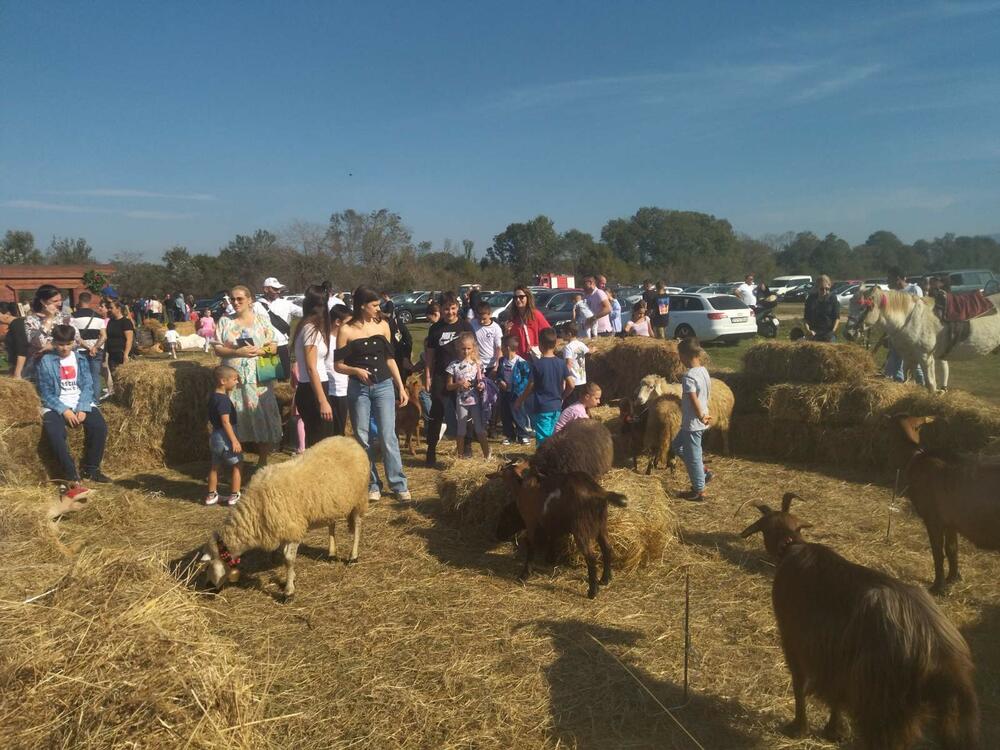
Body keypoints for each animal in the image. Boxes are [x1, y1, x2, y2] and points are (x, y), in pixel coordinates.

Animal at [205, 434, 370, 600]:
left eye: (209, 564)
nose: (208, 589)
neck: (255, 508)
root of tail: (349, 440)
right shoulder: (284, 529)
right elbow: (286, 559)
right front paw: (291, 579)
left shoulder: (293, 528)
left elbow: (289, 560)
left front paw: (288, 591)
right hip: (331, 503)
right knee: (332, 524)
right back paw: (331, 553)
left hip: (360, 497)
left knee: (357, 526)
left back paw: (353, 556)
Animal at [494, 458, 624, 600]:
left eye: (505, 518)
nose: (497, 535)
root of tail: (597, 492)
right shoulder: (551, 522)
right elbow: (552, 538)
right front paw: (551, 559)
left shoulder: (531, 522)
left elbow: (531, 547)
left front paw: (524, 575)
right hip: (601, 524)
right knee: (607, 548)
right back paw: (605, 579)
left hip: (581, 528)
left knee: (591, 557)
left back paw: (592, 591)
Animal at [740, 496, 980, 748]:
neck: (792, 546)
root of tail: (943, 655)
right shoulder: (835, 660)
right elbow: (835, 694)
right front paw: (835, 730)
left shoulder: (793, 640)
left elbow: (799, 683)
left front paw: (799, 728)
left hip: (883, 711)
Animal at [844, 286, 1000, 394]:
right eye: (851, 304)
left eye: (863, 307)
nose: (848, 333)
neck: (909, 318)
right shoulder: (909, 357)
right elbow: (907, 380)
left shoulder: (926, 357)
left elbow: (930, 385)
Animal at [896, 418, 1000, 592]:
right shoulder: (950, 522)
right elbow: (951, 549)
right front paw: (953, 578)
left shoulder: (933, 519)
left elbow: (938, 553)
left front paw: (938, 588)